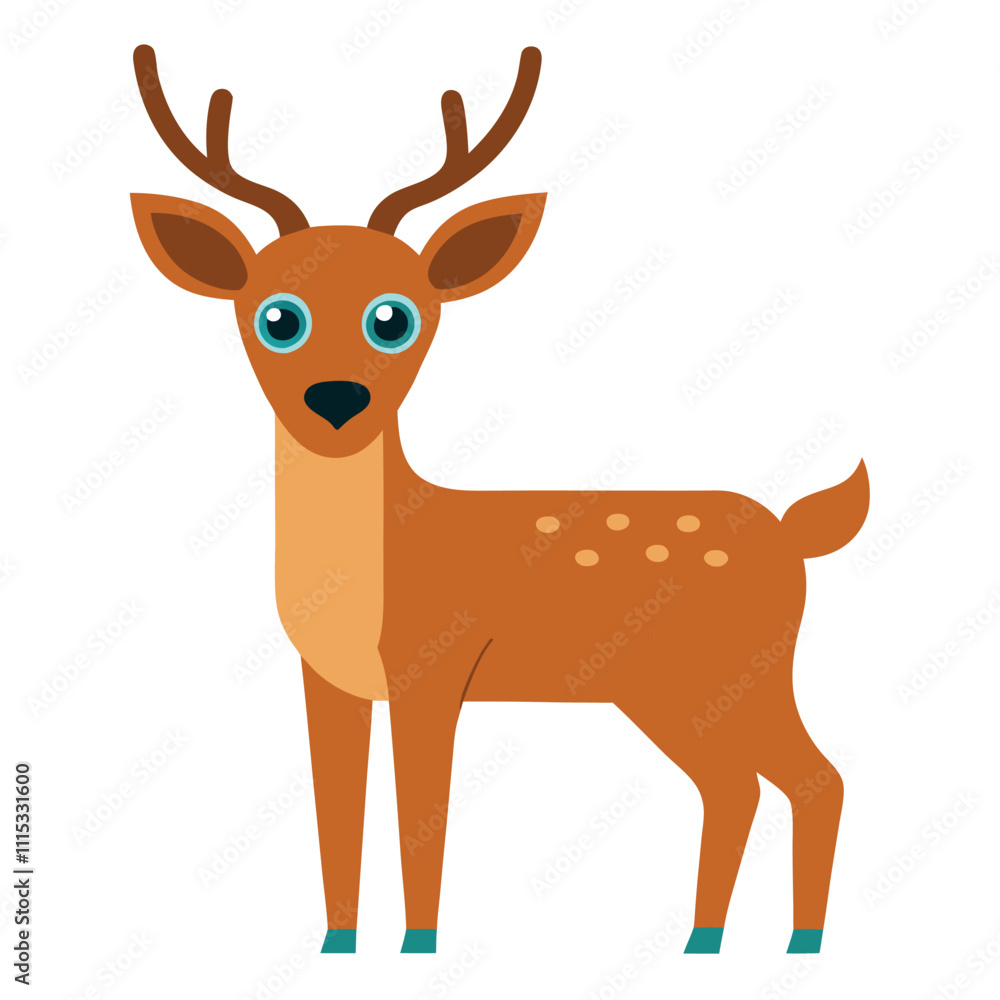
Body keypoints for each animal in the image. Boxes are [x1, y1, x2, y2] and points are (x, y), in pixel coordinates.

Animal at [129, 42, 869, 956]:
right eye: (276, 316)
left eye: (395, 317)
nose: (335, 401)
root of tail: (799, 533)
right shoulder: (325, 680)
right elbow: (335, 812)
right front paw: (339, 946)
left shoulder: (434, 666)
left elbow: (421, 811)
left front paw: (417, 946)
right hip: (678, 692)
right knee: (739, 784)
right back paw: (705, 941)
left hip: (739, 672)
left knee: (815, 779)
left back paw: (796, 942)